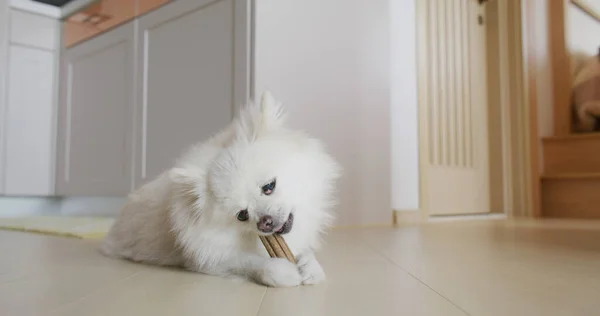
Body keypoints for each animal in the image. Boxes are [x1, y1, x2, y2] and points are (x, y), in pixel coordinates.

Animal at [101, 90, 340, 286]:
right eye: (242, 215)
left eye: (269, 187)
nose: (265, 222)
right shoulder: (207, 258)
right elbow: (247, 261)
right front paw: (282, 271)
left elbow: (306, 253)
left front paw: (309, 266)